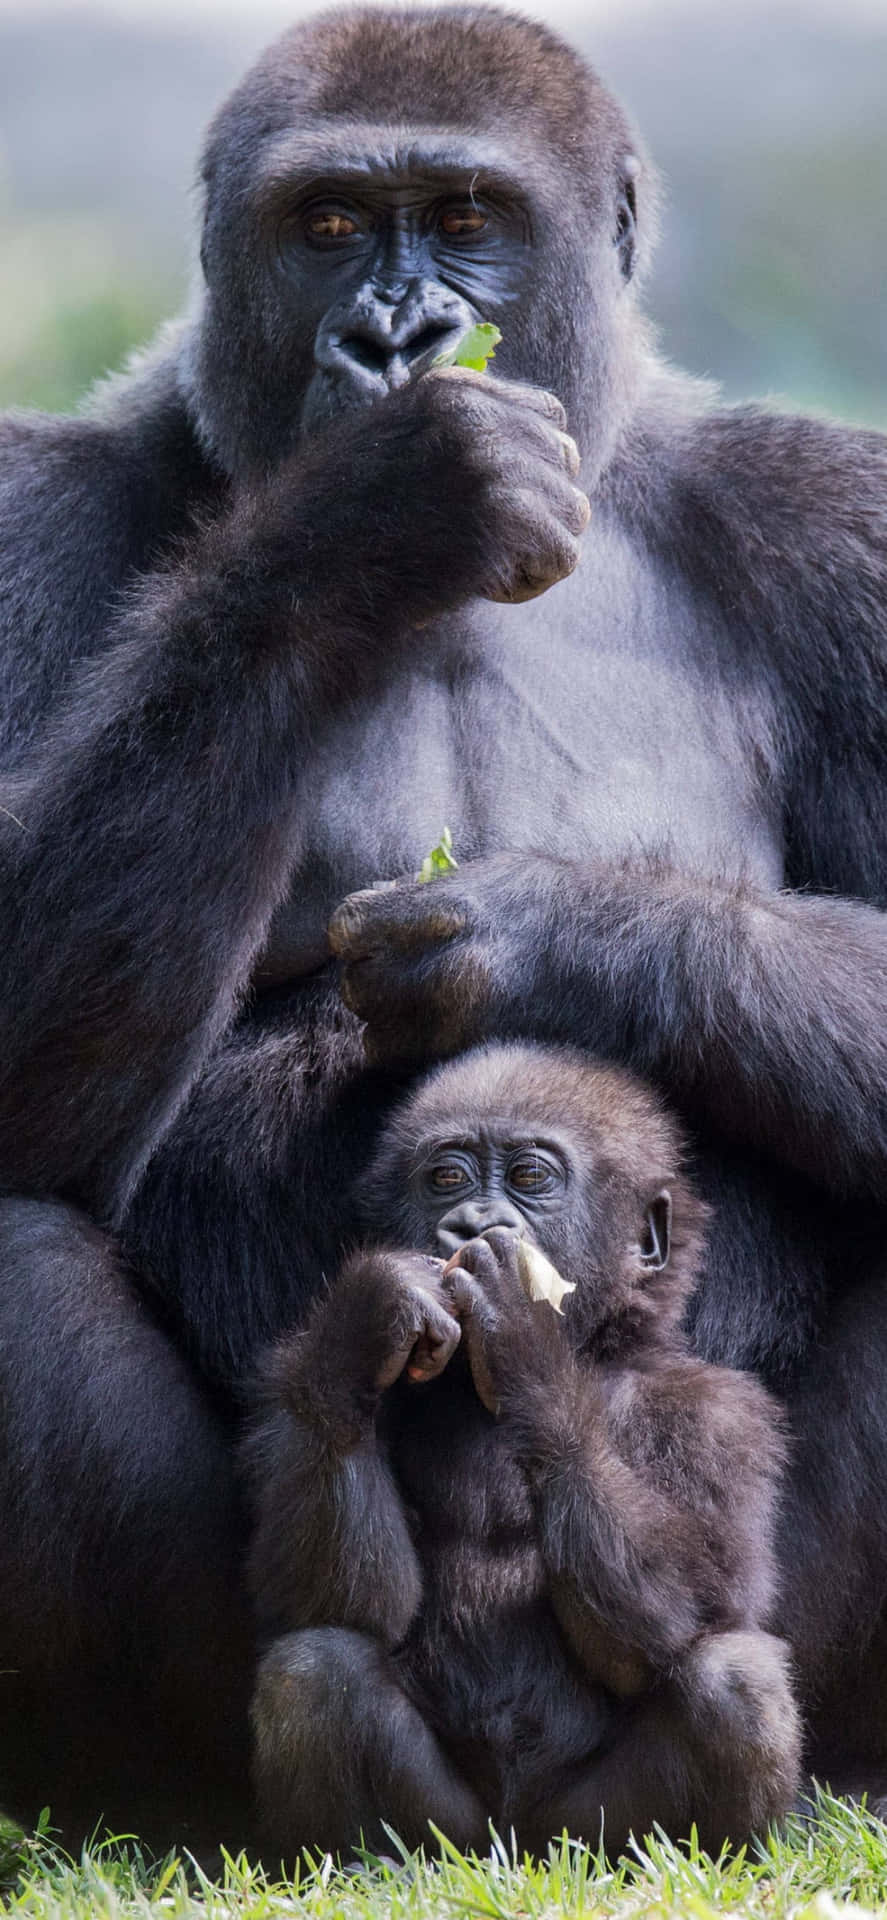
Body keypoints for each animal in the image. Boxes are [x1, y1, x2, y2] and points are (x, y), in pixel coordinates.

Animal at [245, 1052, 798, 1858]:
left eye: (531, 1177)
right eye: (446, 1178)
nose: (473, 1222)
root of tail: (516, 1849)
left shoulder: (722, 1415)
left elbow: (693, 1610)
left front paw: (523, 1335)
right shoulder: (290, 1389)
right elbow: (335, 1599)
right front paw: (372, 1312)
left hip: (584, 1834)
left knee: (733, 1678)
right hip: (452, 1835)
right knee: (314, 1667)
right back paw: (356, 1865)